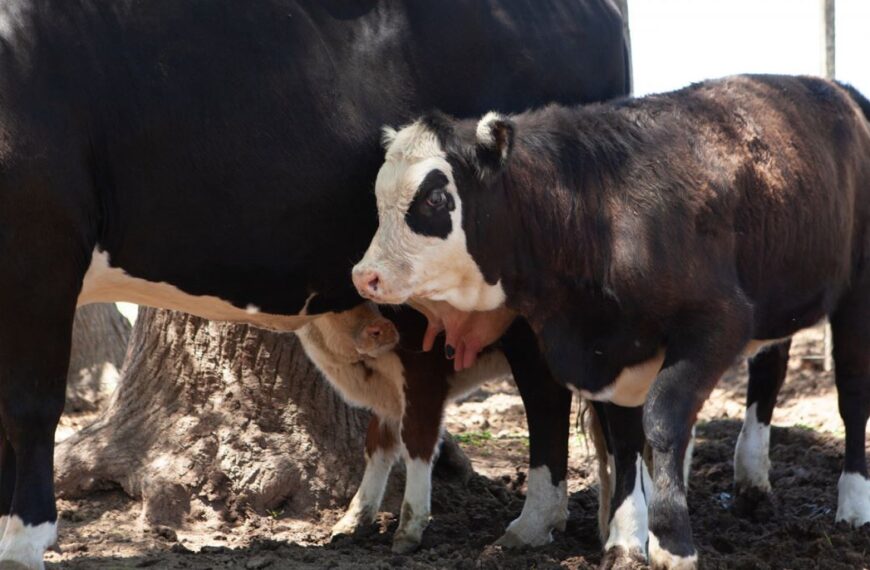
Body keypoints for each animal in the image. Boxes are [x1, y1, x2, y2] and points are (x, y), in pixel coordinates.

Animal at [352, 73, 870, 564]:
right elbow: (624, 440)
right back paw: (752, 482)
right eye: (377, 200)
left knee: (851, 396)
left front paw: (672, 541)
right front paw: (624, 539)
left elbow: (661, 419)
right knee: (770, 371)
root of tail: (836, 89)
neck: (599, 212)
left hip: (855, 296)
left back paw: (853, 506)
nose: (364, 275)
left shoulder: (718, 322)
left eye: (435, 199)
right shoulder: (614, 353)